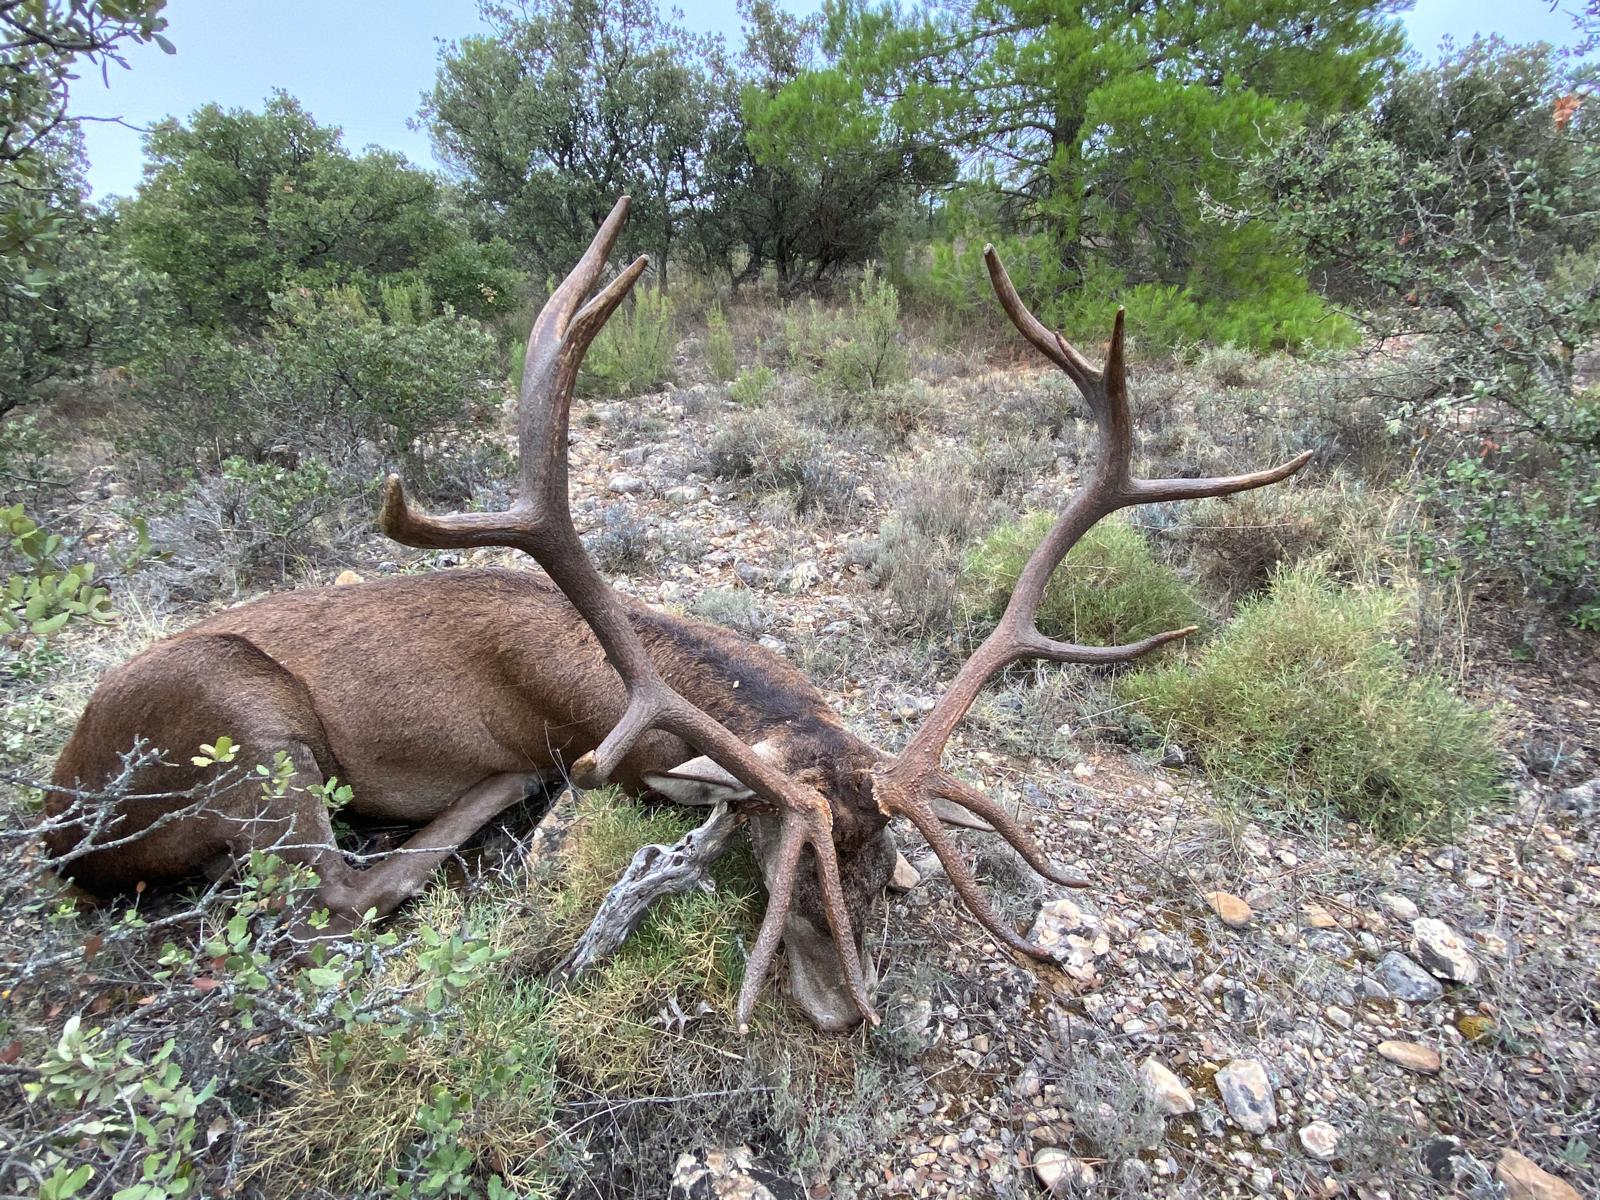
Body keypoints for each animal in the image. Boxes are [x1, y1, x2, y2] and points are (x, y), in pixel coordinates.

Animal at [46, 197, 1309, 1033]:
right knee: (342, 885)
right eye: (771, 854)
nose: (845, 1009)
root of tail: (64, 822)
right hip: (241, 714)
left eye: (886, 859)